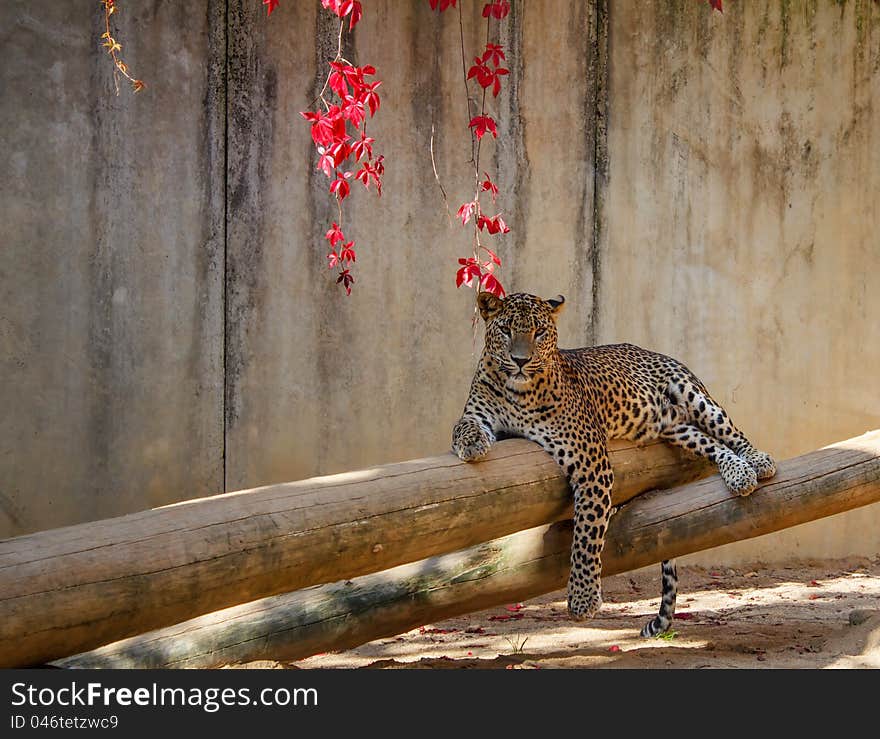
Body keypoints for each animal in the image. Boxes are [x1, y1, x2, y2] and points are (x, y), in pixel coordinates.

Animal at [450, 292, 772, 640]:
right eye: (506, 330)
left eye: (539, 332)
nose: (520, 360)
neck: (517, 392)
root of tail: (649, 350)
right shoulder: (478, 413)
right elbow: (462, 425)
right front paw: (471, 443)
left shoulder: (591, 461)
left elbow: (587, 534)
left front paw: (583, 600)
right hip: (677, 428)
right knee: (712, 443)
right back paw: (738, 473)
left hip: (695, 396)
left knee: (731, 432)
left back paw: (757, 463)